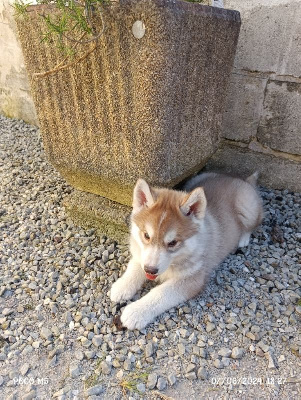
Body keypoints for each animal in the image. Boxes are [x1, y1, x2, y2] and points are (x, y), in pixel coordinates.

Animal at [109, 173, 262, 330]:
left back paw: (243, 239)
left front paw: (136, 312)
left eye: (172, 243)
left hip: (247, 208)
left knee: (255, 222)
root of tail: (241, 180)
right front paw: (121, 286)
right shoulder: (142, 255)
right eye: (146, 235)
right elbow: (135, 267)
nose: (150, 270)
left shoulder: (192, 280)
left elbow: (161, 293)